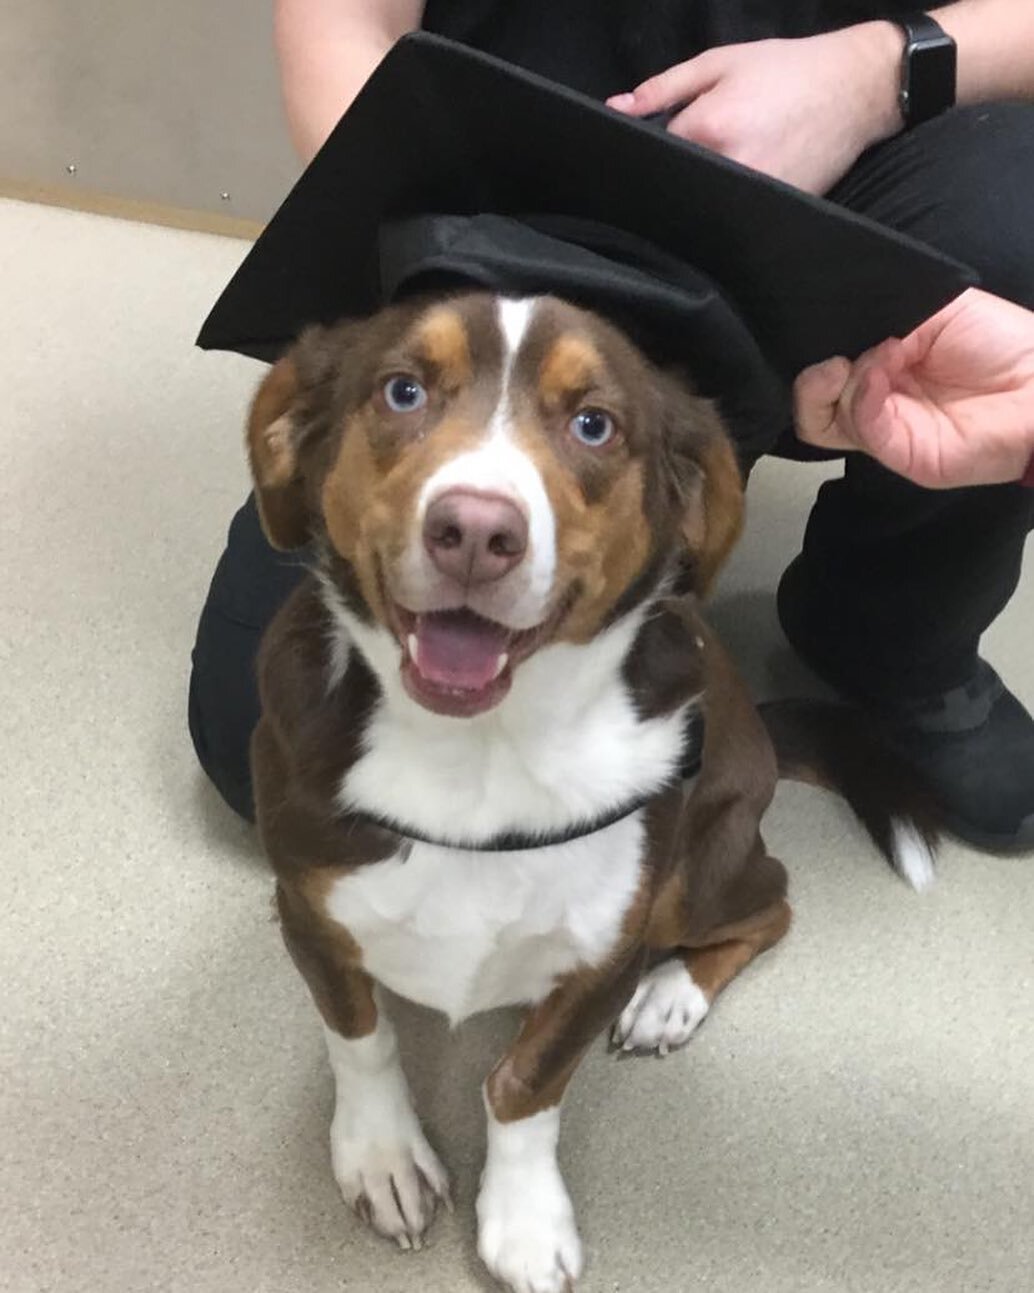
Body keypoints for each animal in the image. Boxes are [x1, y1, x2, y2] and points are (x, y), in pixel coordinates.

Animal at [244, 290, 935, 1293]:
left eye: (594, 424)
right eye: (403, 391)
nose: (475, 531)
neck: (480, 752)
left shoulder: (605, 954)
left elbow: (524, 1084)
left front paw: (525, 1220)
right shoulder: (307, 907)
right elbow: (361, 1035)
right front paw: (383, 1156)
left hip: (699, 867)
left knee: (773, 904)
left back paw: (674, 996)